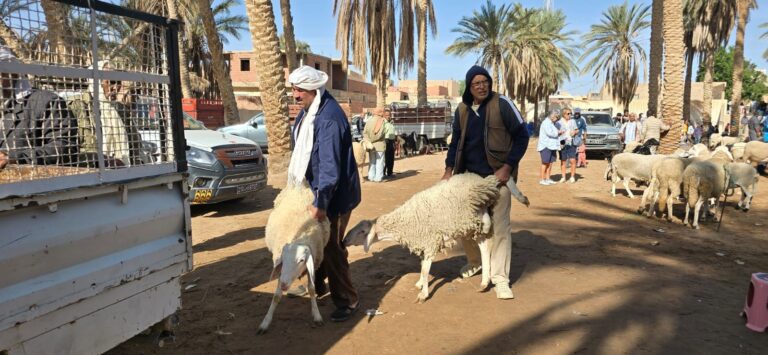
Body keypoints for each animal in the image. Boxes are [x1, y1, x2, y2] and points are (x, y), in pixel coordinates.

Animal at [258, 185, 330, 336]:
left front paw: (317, 315)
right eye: (283, 260)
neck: (297, 237)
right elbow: (276, 296)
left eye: (302, 260)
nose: (285, 284)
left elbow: (312, 289)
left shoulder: (312, 264)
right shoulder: (281, 269)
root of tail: (299, 185)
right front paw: (265, 322)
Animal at [342, 172, 528, 304]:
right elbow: (422, 266)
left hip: (473, 211)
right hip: (468, 223)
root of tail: (480, 179)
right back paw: (484, 281)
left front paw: (423, 294)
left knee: (487, 227)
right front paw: (419, 283)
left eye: (361, 232)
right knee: (483, 245)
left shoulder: (430, 242)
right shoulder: (425, 244)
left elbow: (425, 270)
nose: (343, 241)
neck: (405, 222)